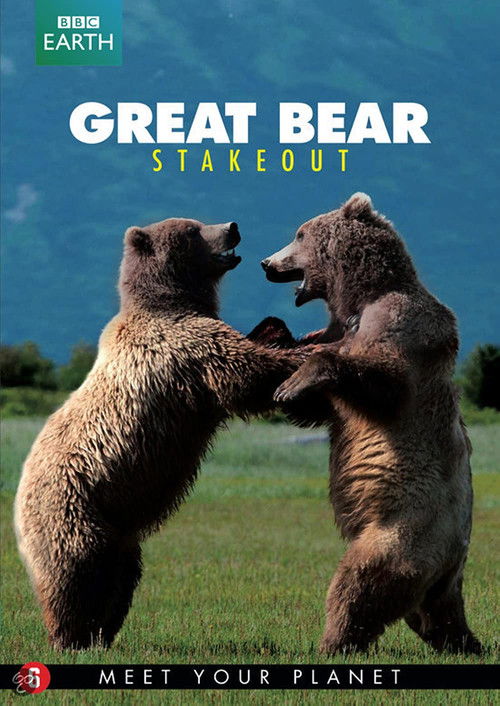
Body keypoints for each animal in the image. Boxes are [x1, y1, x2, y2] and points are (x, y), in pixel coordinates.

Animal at [14, 217, 315, 651]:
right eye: (192, 230)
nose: (232, 226)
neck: (173, 301)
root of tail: (17, 503)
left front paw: (278, 329)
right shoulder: (183, 347)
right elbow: (244, 372)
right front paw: (305, 351)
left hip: (118, 531)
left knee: (120, 577)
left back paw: (101, 633)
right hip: (72, 511)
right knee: (76, 575)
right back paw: (70, 636)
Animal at [260, 193, 482, 655]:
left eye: (299, 233)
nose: (266, 262)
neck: (356, 301)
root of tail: (453, 570)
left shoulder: (404, 325)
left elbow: (384, 378)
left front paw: (292, 383)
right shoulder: (335, 333)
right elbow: (322, 405)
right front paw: (277, 345)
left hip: (405, 532)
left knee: (361, 581)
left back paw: (333, 641)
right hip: (432, 577)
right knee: (432, 617)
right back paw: (464, 641)